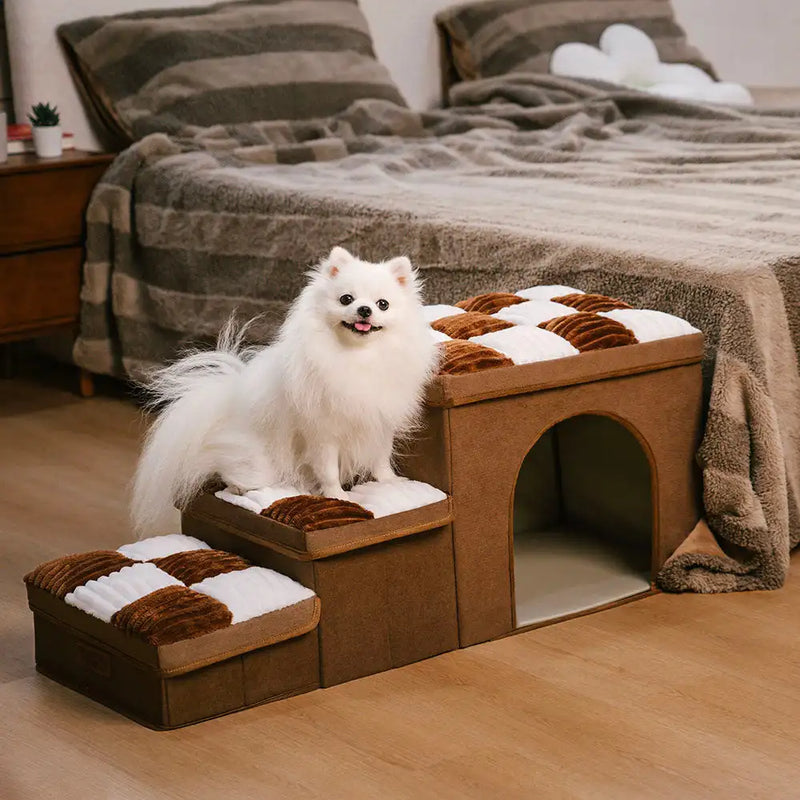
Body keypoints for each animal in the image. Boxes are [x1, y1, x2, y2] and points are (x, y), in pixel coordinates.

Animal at [134, 247, 440, 536]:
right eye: (346, 299)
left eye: (382, 304)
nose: (365, 310)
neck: (358, 357)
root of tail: (228, 406)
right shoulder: (322, 433)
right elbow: (329, 469)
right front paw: (338, 496)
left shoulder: (379, 422)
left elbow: (380, 457)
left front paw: (390, 482)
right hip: (259, 462)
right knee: (229, 470)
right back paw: (240, 487)